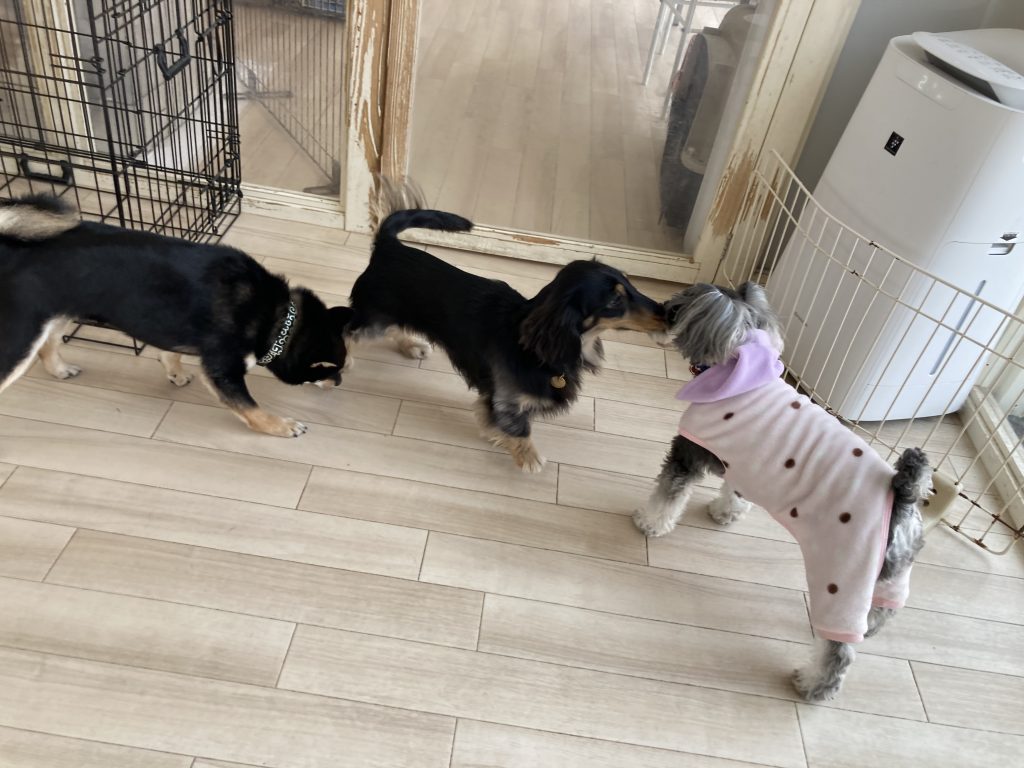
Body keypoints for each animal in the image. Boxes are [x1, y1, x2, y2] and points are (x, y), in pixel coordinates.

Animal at [0, 195, 350, 437]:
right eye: (331, 371)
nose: (339, 382)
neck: (278, 319)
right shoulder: (224, 369)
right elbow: (249, 407)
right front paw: (280, 425)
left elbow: (170, 353)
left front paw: (175, 373)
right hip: (21, 335)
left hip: (57, 312)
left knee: (47, 345)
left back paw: (60, 370)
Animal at [346, 179, 667, 471]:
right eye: (614, 300)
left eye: (630, 283)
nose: (667, 313)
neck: (532, 347)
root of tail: (389, 246)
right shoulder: (505, 399)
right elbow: (519, 428)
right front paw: (529, 458)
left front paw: (498, 437)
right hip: (373, 318)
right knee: (349, 329)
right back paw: (345, 360)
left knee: (394, 328)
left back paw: (412, 345)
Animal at [633, 281, 930, 701]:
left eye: (676, 309)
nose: (660, 310)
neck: (740, 366)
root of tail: (904, 495)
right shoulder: (743, 463)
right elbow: (735, 492)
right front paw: (725, 513)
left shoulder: (687, 455)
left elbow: (667, 494)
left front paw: (649, 522)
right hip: (892, 574)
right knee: (886, 608)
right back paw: (871, 627)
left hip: (842, 576)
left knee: (840, 650)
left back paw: (812, 685)